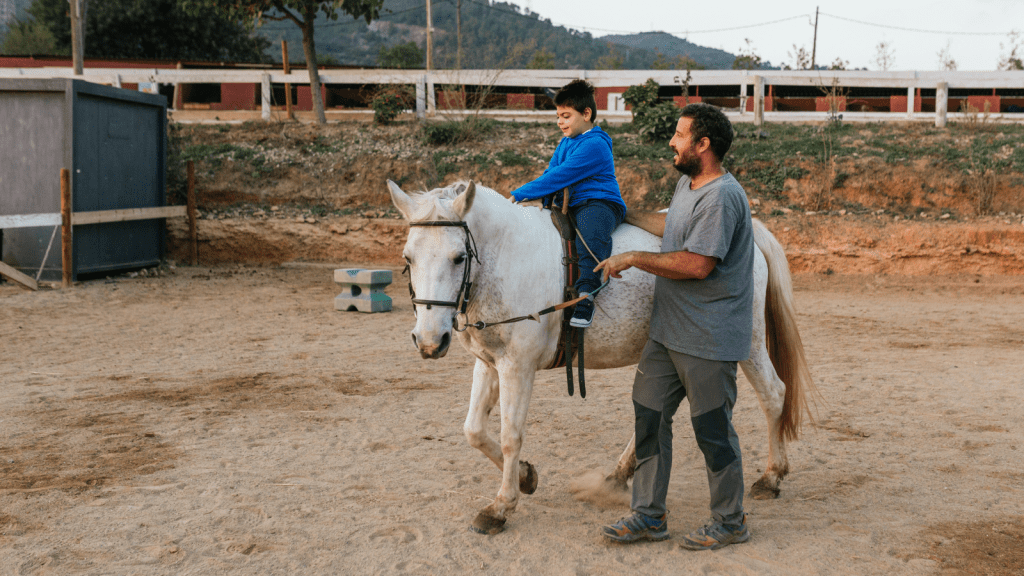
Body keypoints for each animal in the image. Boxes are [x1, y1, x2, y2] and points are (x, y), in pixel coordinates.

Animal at [387, 179, 811, 532]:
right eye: (407, 258)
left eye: (459, 257)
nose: (429, 340)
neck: (505, 256)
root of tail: (750, 232)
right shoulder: (489, 363)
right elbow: (474, 431)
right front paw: (524, 476)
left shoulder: (517, 368)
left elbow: (510, 436)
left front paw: (501, 507)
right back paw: (620, 474)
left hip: (747, 344)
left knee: (773, 394)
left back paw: (771, 476)